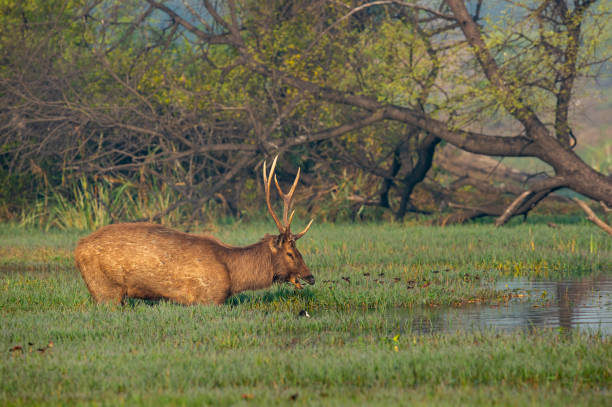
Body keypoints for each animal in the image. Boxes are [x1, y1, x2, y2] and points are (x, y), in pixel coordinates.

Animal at [75, 156, 316, 306]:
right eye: (290, 253)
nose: (311, 277)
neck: (234, 276)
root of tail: (78, 247)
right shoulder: (209, 298)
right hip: (105, 289)